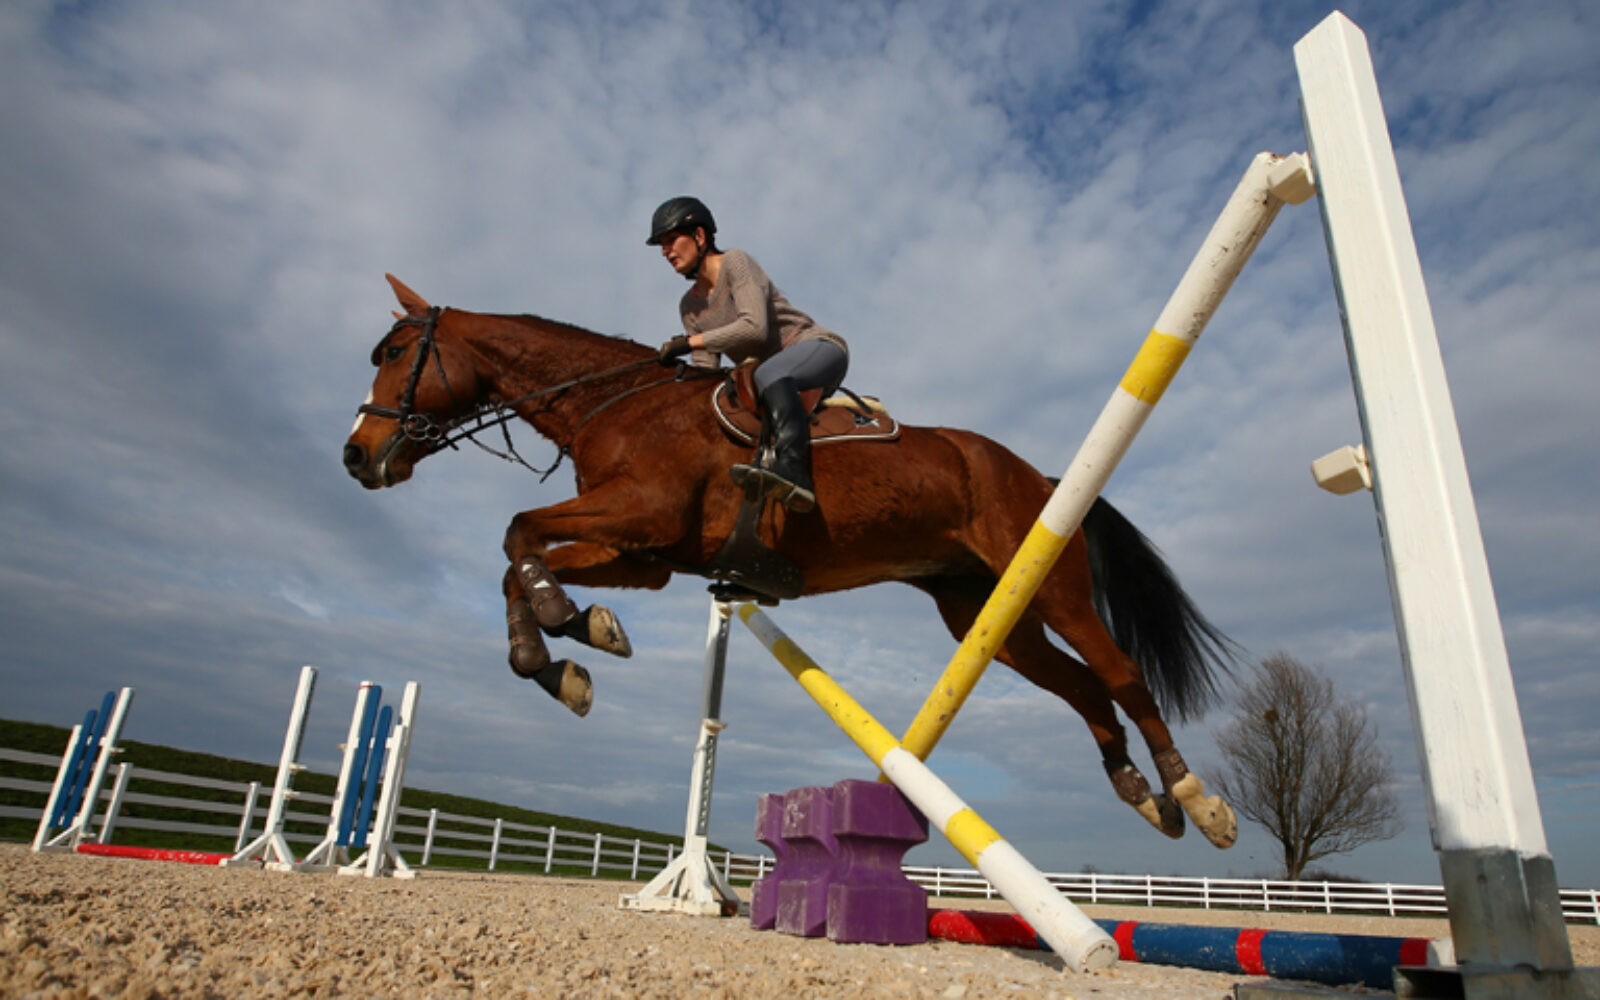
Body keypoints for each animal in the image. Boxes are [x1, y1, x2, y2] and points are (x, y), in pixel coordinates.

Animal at [344, 276, 1241, 844]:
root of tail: (1042, 476)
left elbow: (515, 531)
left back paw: (1195, 800)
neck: (619, 404)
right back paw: (1140, 795)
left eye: (391, 352)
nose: (356, 458)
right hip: (984, 614)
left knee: (1120, 672)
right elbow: (519, 554)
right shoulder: (642, 551)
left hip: (1053, 587)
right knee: (1084, 686)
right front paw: (569, 653)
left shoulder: (643, 515)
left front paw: (567, 626)